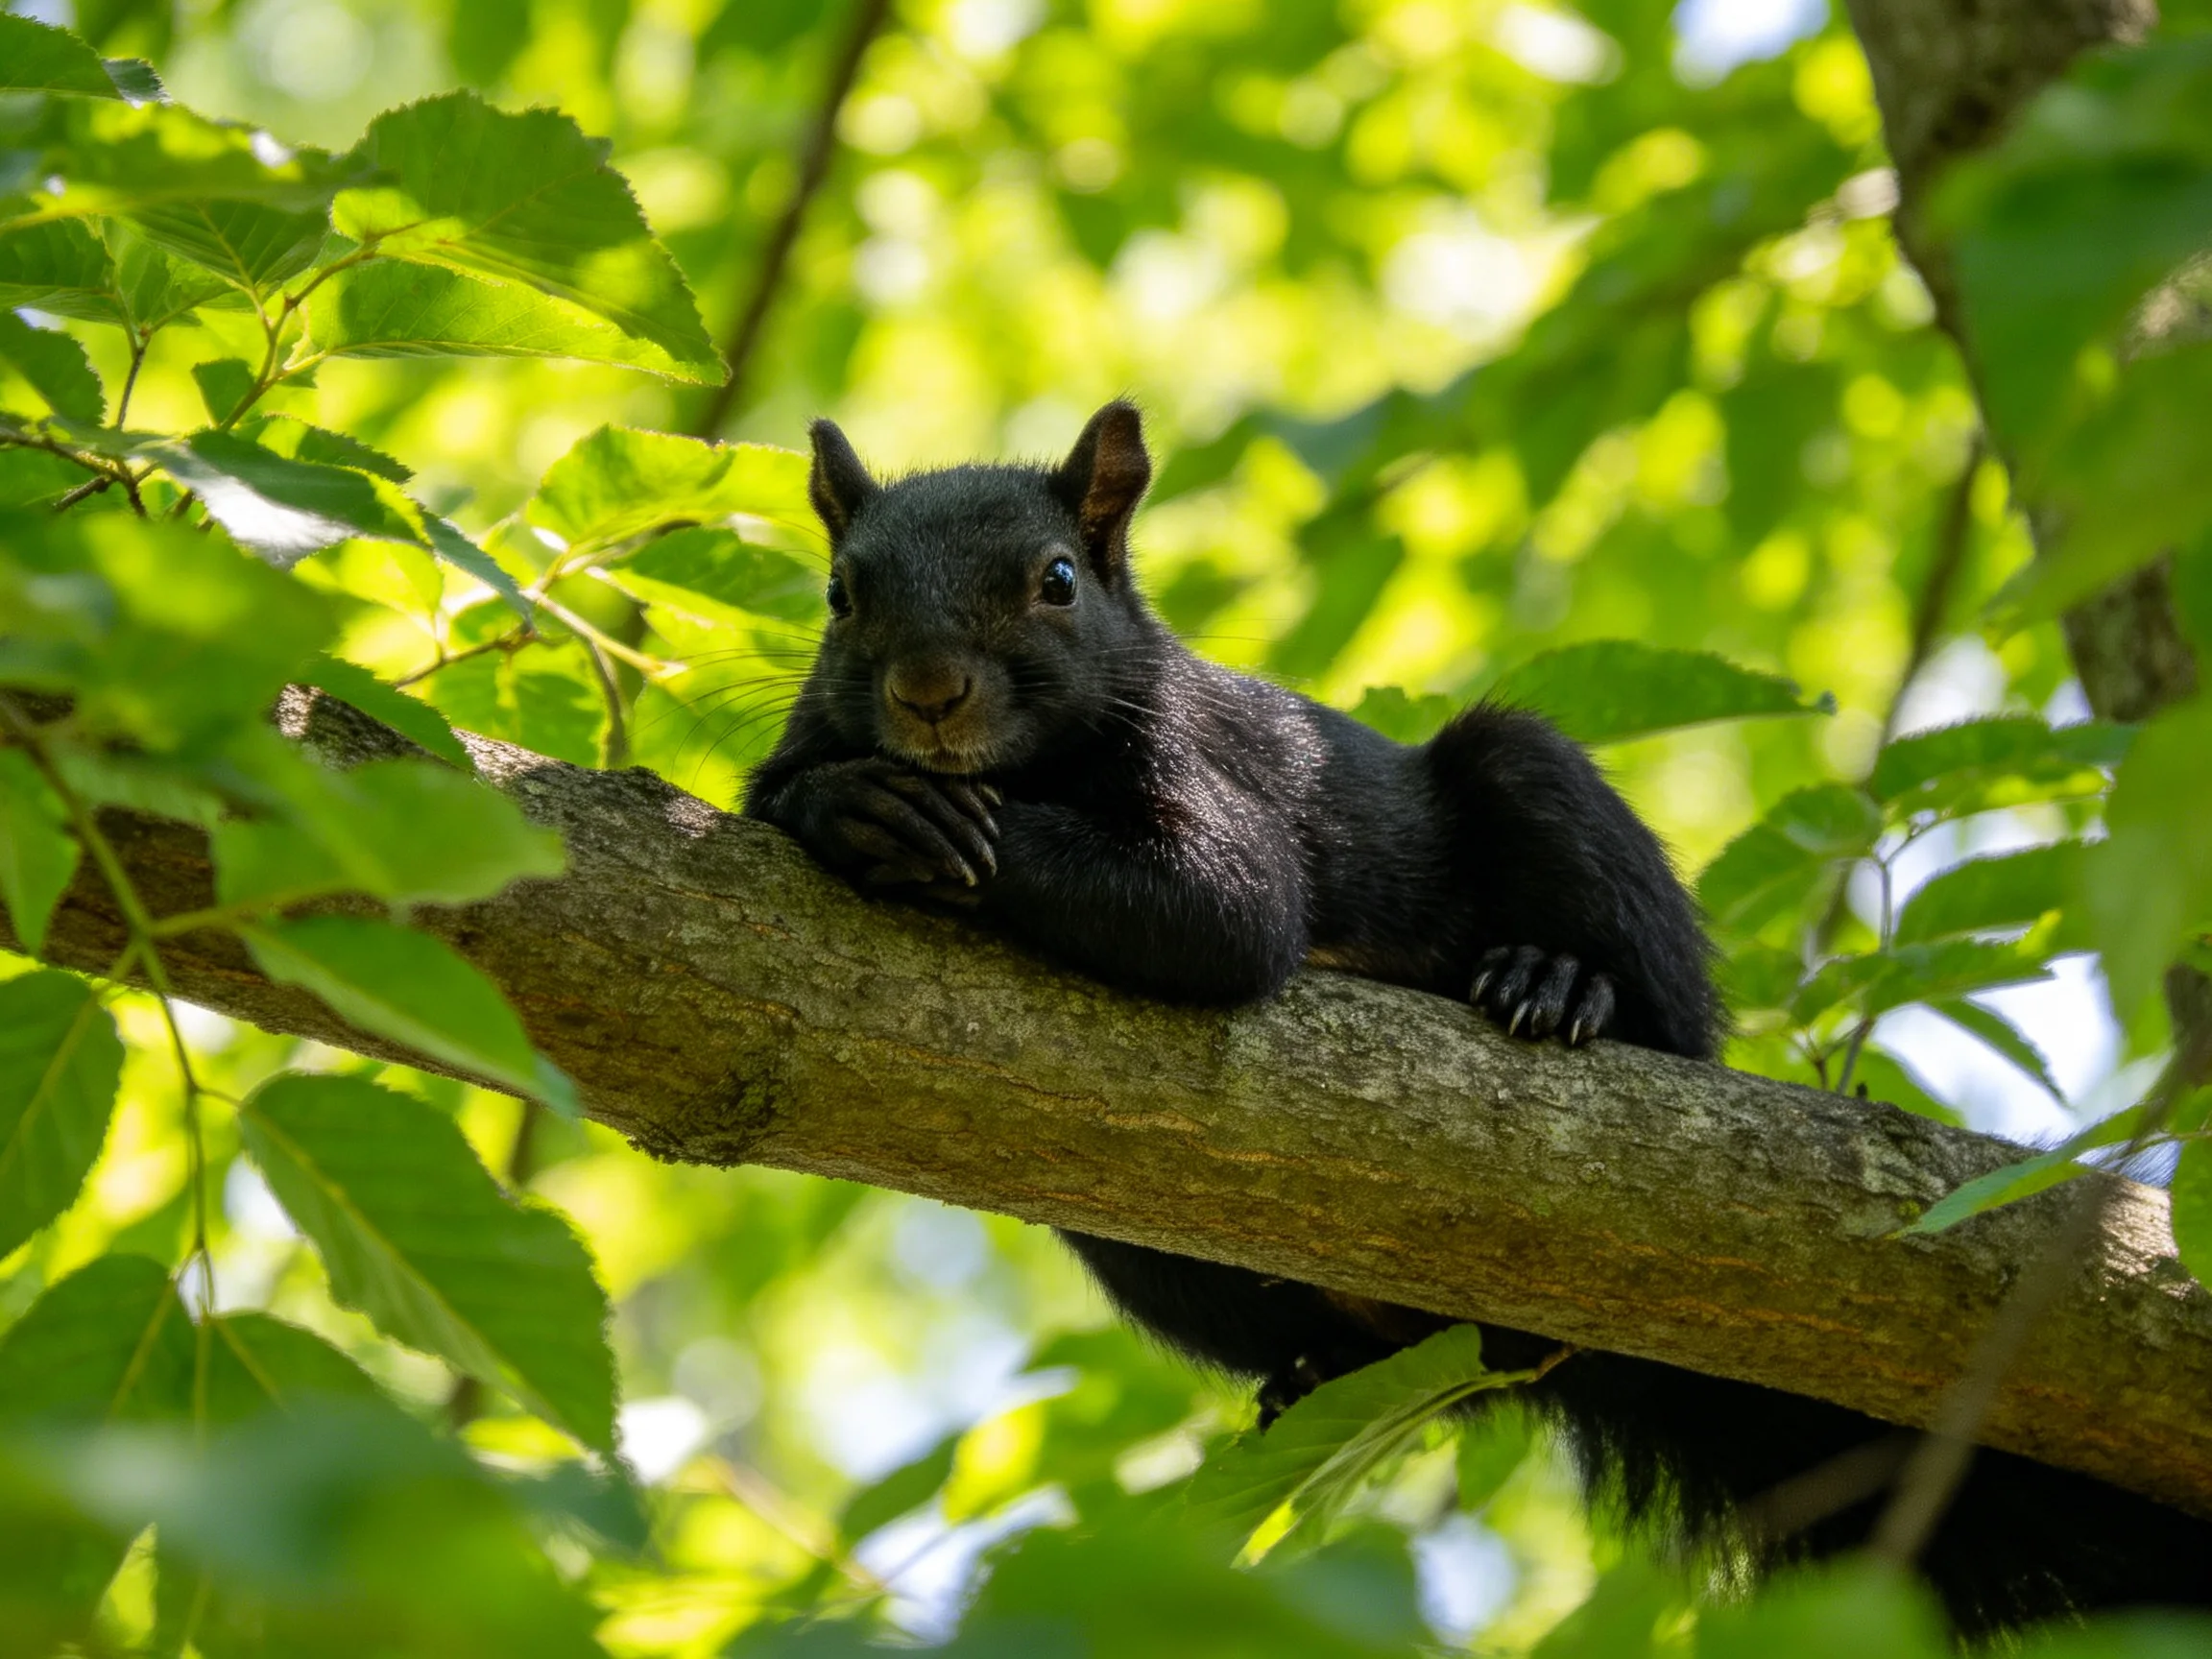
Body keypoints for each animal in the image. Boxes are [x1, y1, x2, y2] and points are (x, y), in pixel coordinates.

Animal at [745, 400, 2212, 1636]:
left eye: (1055, 581)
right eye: (839, 593)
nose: (929, 692)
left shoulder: (1202, 775)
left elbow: (1225, 912)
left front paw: (915, 816)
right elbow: (784, 796)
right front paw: (856, 804)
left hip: (1547, 795)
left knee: (1644, 991)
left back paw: (1563, 988)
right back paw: (1310, 1369)